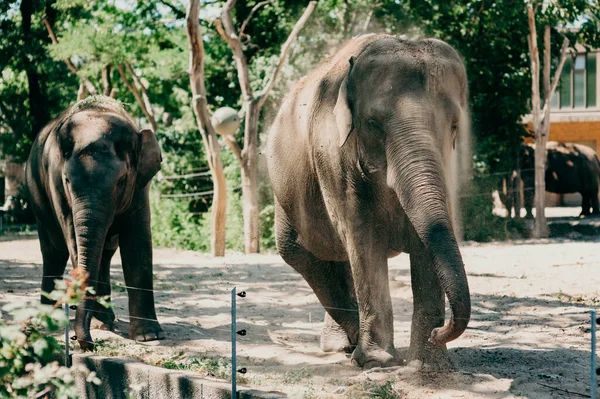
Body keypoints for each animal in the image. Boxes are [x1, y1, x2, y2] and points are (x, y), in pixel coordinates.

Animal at [26, 95, 164, 348]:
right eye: (67, 180)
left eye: (121, 181)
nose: (86, 343)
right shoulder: (56, 185)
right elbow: (75, 241)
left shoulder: (140, 188)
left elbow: (137, 246)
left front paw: (149, 336)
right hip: (38, 200)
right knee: (54, 252)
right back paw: (52, 318)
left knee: (104, 254)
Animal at [268, 32, 474, 370]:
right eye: (374, 124)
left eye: (455, 125)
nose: (439, 332)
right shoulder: (333, 158)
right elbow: (363, 238)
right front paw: (378, 362)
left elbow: (426, 241)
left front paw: (428, 365)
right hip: (285, 192)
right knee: (301, 253)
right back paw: (347, 344)